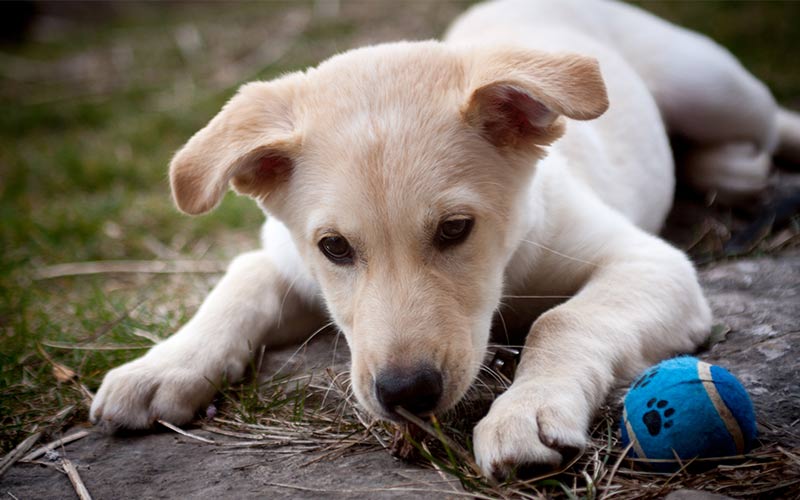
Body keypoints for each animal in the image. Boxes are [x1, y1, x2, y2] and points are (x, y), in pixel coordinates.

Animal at [89, 0, 800, 478]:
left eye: (456, 230)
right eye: (334, 248)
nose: (406, 396)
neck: (508, 268)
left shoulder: (651, 262)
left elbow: (564, 320)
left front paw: (526, 410)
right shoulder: (284, 257)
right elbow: (239, 284)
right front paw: (164, 363)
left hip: (710, 87)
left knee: (770, 119)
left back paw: (738, 165)